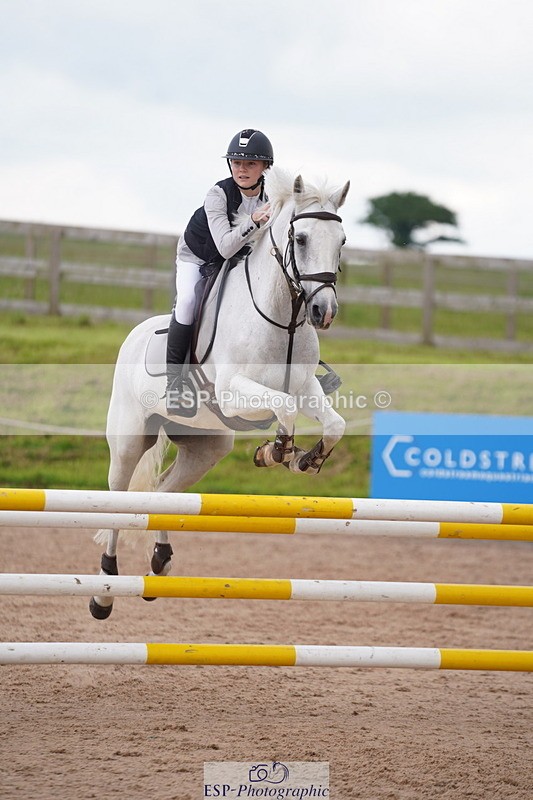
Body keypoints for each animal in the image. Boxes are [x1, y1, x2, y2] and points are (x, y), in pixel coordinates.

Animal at [89, 166, 350, 619]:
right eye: (300, 239)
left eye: (342, 242)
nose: (324, 312)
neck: (282, 318)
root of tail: (135, 334)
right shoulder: (234, 393)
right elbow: (283, 409)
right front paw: (275, 452)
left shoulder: (306, 388)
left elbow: (333, 423)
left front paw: (306, 459)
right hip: (128, 440)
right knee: (118, 500)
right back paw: (104, 591)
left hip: (206, 447)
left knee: (163, 494)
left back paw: (159, 565)